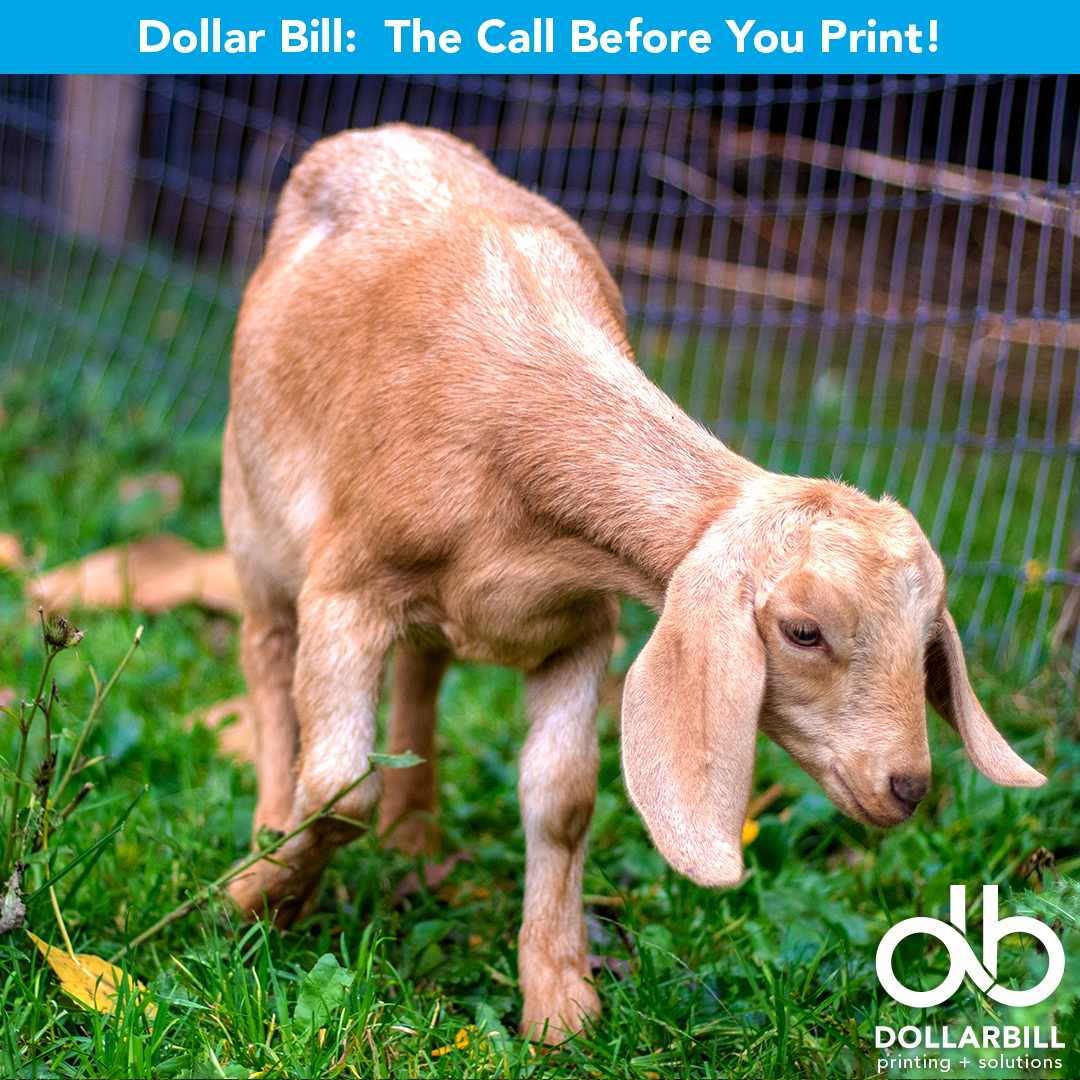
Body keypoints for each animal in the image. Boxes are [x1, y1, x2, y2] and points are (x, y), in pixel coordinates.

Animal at [222, 124, 1044, 1042]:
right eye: (803, 630)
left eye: (927, 636)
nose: (908, 787)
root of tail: (373, 134)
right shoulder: (348, 592)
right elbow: (337, 788)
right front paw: (262, 899)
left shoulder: (579, 625)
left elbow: (562, 799)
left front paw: (559, 1003)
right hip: (253, 518)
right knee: (265, 657)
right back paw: (268, 826)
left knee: (422, 675)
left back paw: (416, 840)